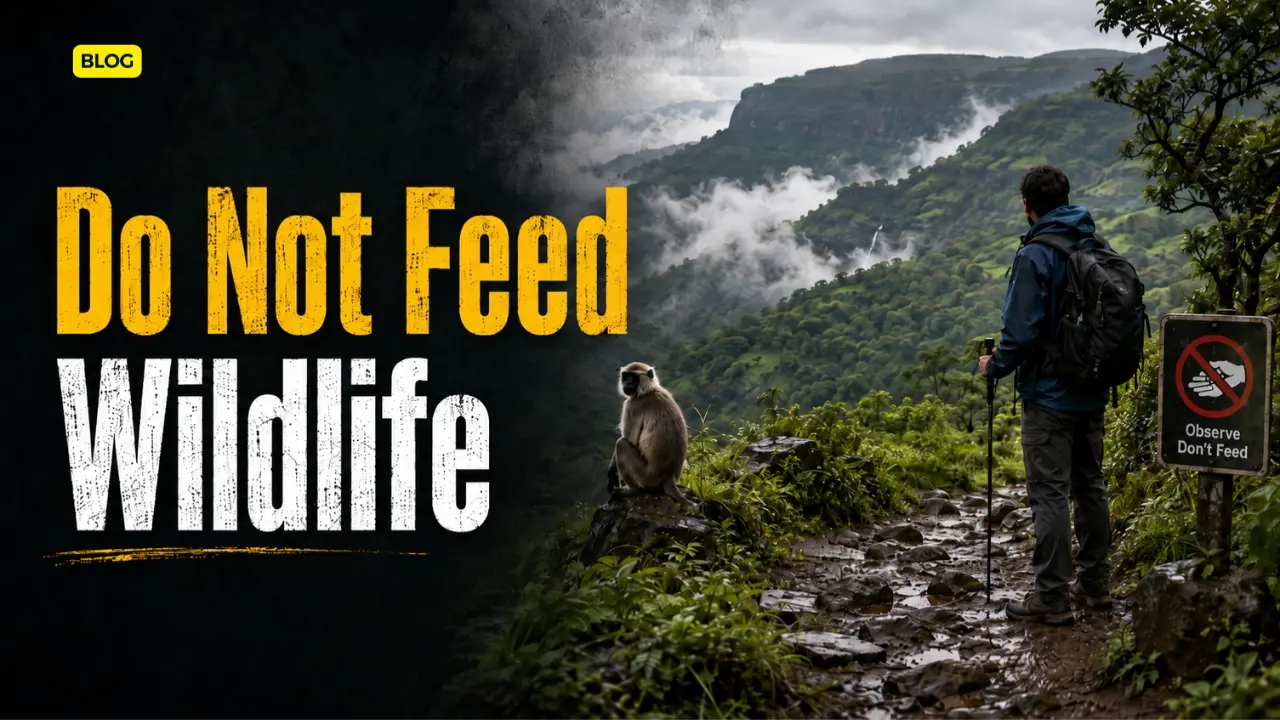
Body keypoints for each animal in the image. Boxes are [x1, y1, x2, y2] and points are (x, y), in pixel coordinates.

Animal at [606, 361, 696, 508]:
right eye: (626, 375)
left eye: (634, 377)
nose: (628, 382)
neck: (649, 391)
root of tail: (669, 475)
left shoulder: (632, 406)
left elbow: (630, 440)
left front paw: (612, 471)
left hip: (646, 476)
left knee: (621, 444)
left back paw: (632, 490)